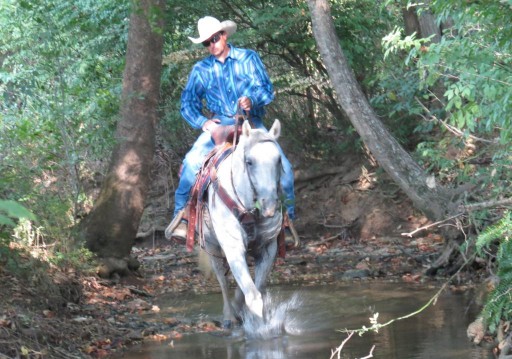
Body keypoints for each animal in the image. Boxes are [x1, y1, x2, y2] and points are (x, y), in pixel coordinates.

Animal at [200, 119, 284, 330]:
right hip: (212, 248)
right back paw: (229, 316)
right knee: (222, 280)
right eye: (249, 162)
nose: (269, 205)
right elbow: (253, 296)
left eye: (279, 159)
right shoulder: (233, 248)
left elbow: (257, 289)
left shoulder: (268, 248)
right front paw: (260, 329)